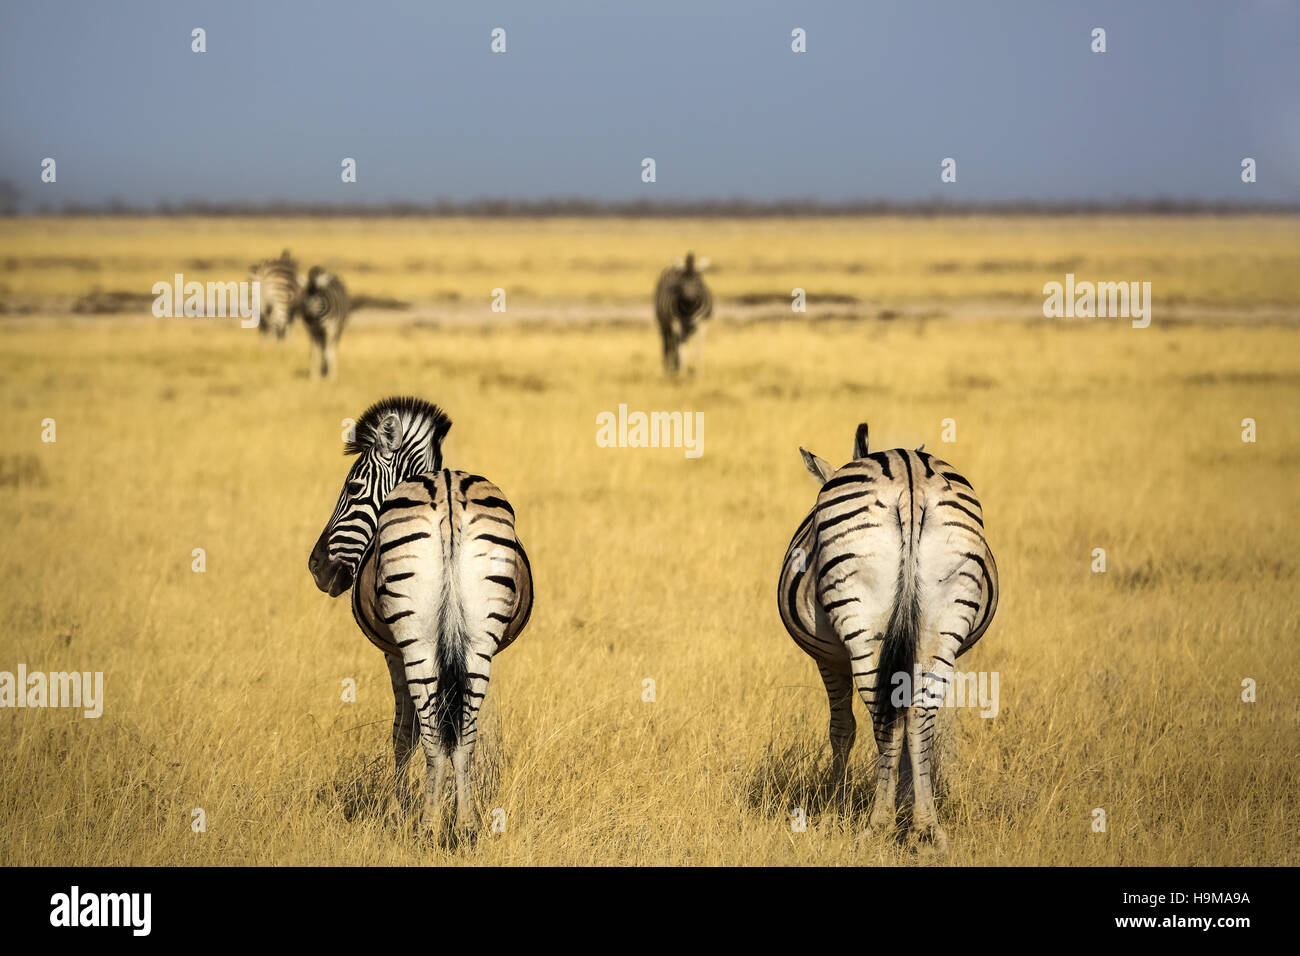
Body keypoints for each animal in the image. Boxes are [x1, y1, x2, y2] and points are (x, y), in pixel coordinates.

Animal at [309, 392, 533, 842]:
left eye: (352, 487)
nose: (315, 567)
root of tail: (446, 491)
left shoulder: (393, 652)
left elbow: (404, 734)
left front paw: (398, 811)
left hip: (417, 640)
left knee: (431, 735)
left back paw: (428, 828)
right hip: (478, 642)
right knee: (464, 735)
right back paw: (465, 827)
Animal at [774, 421, 998, 858]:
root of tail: (908, 474)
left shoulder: (829, 659)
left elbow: (841, 728)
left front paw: (834, 808)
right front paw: (907, 804)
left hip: (863, 623)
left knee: (885, 717)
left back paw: (877, 825)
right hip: (944, 620)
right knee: (919, 716)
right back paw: (926, 829)